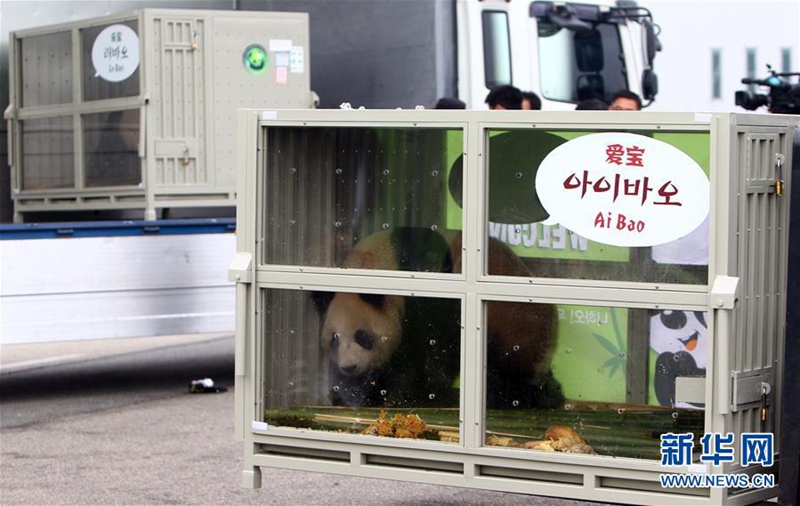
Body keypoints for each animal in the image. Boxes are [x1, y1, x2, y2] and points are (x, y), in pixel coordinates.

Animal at [312, 229, 564, 412]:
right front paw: (361, 393)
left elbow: (422, 356)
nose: (349, 366)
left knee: (505, 366)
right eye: (334, 339)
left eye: (363, 336)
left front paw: (404, 395)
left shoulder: (426, 305)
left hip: (511, 322)